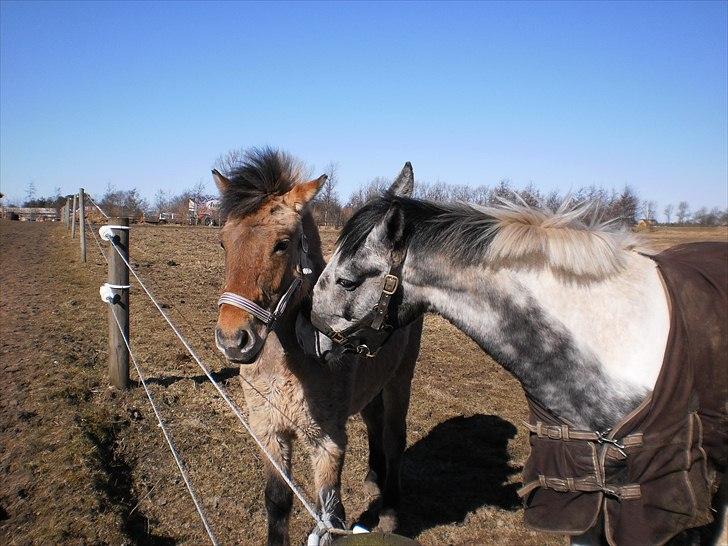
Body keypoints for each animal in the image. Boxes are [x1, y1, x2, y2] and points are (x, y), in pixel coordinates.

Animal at [213, 147, 424, 540]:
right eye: (224, 241)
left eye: (282, 244)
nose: (233, 340)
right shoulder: (269, 432)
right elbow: (277, 502)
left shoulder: (327, 441)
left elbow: (332, 515)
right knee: (374, 422)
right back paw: (373, 477)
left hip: (400, 378)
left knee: (393, 436)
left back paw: (389, 511)